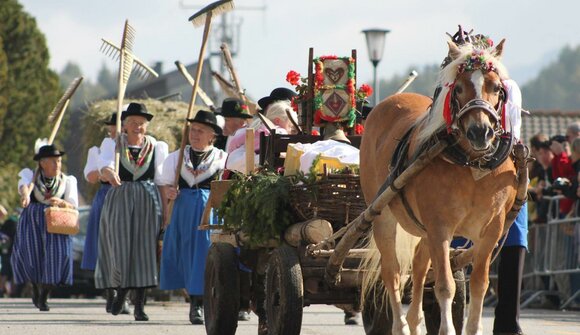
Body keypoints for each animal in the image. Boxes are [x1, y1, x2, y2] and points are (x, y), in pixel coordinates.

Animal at [360, 40, 520, 335]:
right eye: (458, 88)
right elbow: (445, 285)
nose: (480, 132)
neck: (471, 164)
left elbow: (478, 284)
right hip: (381, 215)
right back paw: (401, 325)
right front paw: (447, 328)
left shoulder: (491, 230)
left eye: (496, 88)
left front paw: (473, 327)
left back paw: (414, 321)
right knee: (393, 272)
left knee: (419, 267)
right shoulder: (440, 227)